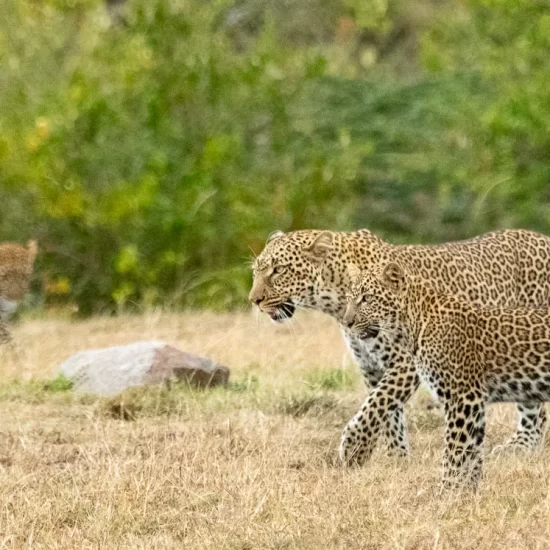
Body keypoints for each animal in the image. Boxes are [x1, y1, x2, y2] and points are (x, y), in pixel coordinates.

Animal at [251, 229, 550, 462]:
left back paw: (522, 446)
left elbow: (376, 405)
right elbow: (387, 412)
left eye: (279, 271)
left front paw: (354, 449)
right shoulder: (372, 366)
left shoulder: (405, 363)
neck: (336, 298)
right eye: (256, 272)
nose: (254, 300)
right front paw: (396, 456)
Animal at [342, 264, 550, 492]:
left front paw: (446, 492)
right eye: (349, 298)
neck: (411, 325)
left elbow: (455, 452)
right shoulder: (474, 402)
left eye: (367, 298)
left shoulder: (463, 397)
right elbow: (471, 454)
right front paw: (466, 494)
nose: (347, 322)